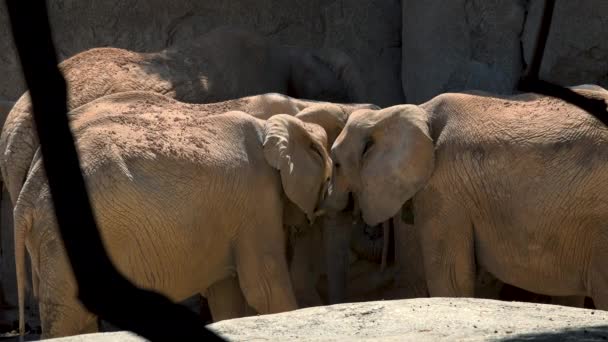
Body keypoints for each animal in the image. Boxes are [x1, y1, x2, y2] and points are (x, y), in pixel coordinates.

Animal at [13, 89, 332, 338]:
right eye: (329, 177)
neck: (271, 125)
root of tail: (27, 191)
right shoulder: (257, 198)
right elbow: (264, 287)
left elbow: (225, 292)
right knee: (70, 316)